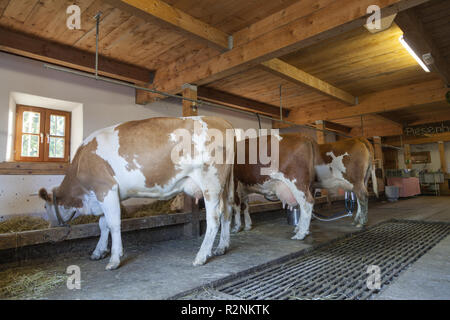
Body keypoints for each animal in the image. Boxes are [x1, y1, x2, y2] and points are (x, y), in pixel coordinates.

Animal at [38, 116, 234, 268]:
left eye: (45, 207)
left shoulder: (105, 188)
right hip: (224, 186)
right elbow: (103, 224)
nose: (49, 227)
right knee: (226, 212)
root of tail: (221, 120)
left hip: (210, 182)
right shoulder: (105, 195)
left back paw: (201, 256)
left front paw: (114, 259)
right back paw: (222, 247)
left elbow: (113, 224)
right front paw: (98, 251)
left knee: (214, 218)